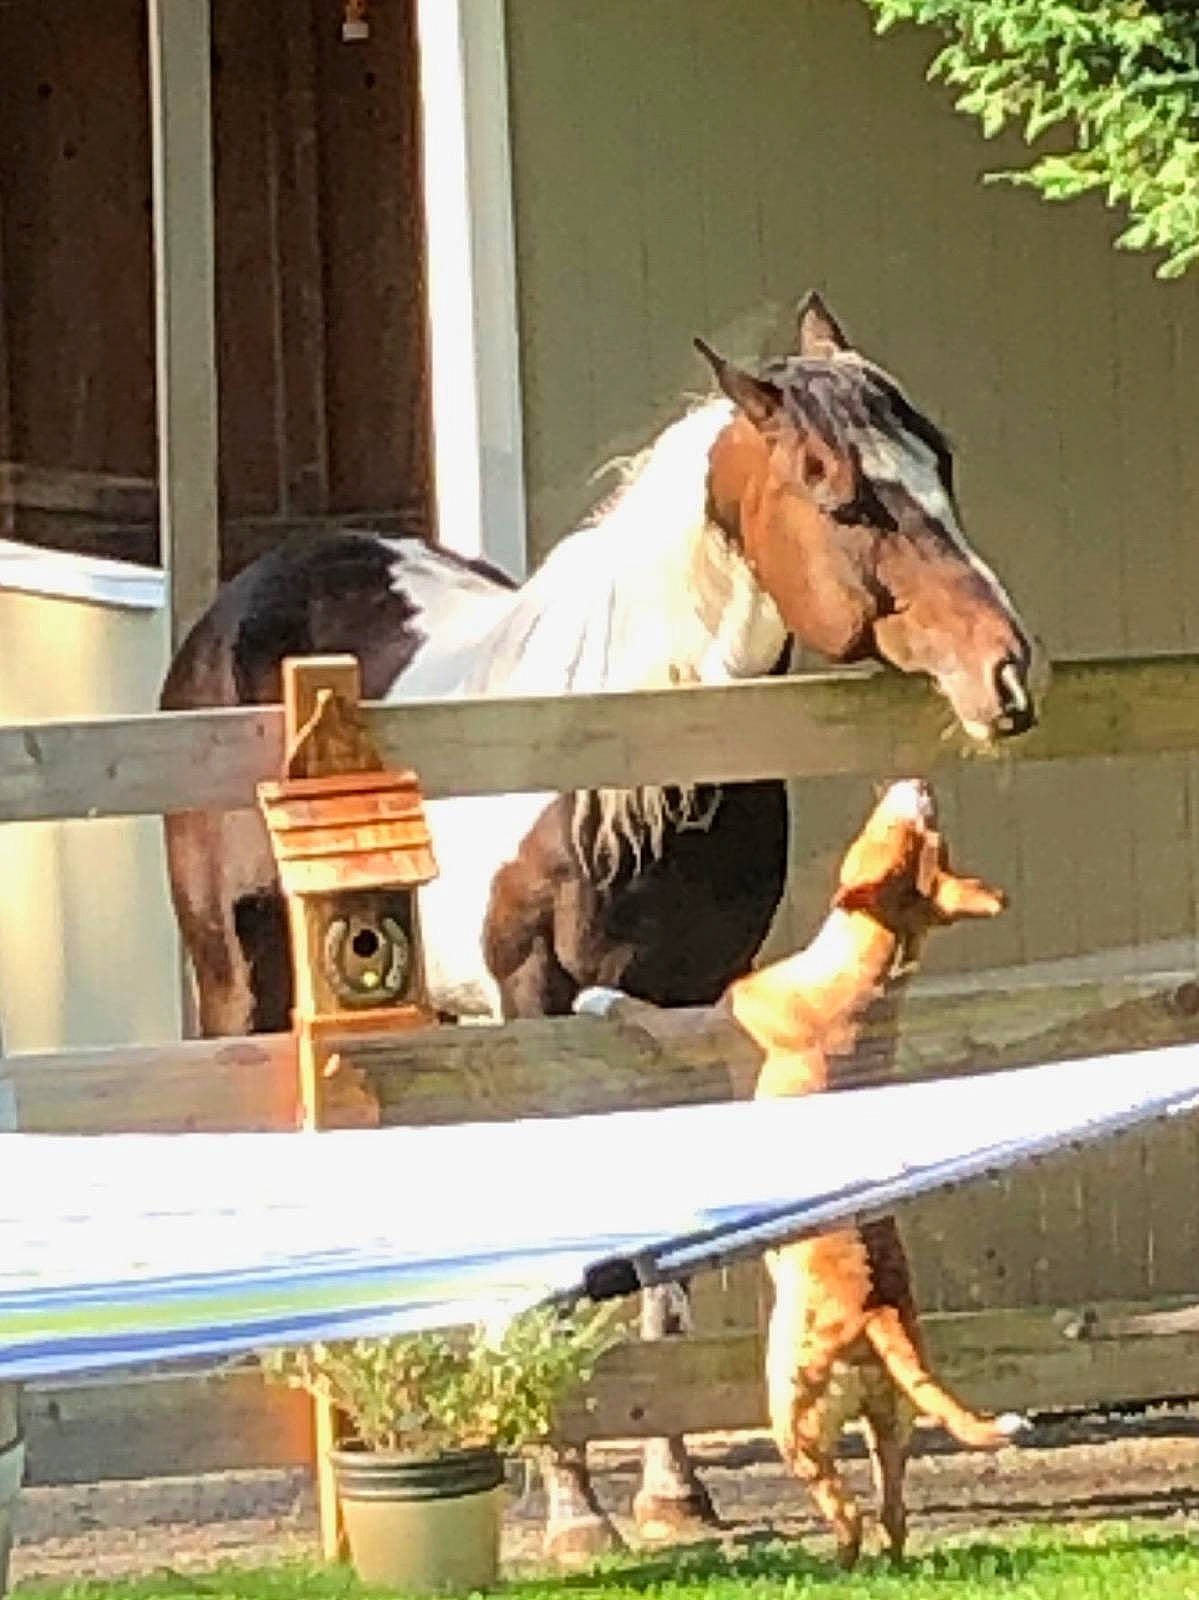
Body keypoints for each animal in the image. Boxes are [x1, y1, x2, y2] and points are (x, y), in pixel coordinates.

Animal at [160, 292, 1039, 1561]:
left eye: (941, 463)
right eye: (837, 493)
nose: (1005, 674)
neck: (622, 775)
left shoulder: (685, 1011)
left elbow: (658, 1275)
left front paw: (671, 1497)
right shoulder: (535, 1009)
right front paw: (576, 1513)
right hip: (250, 989)